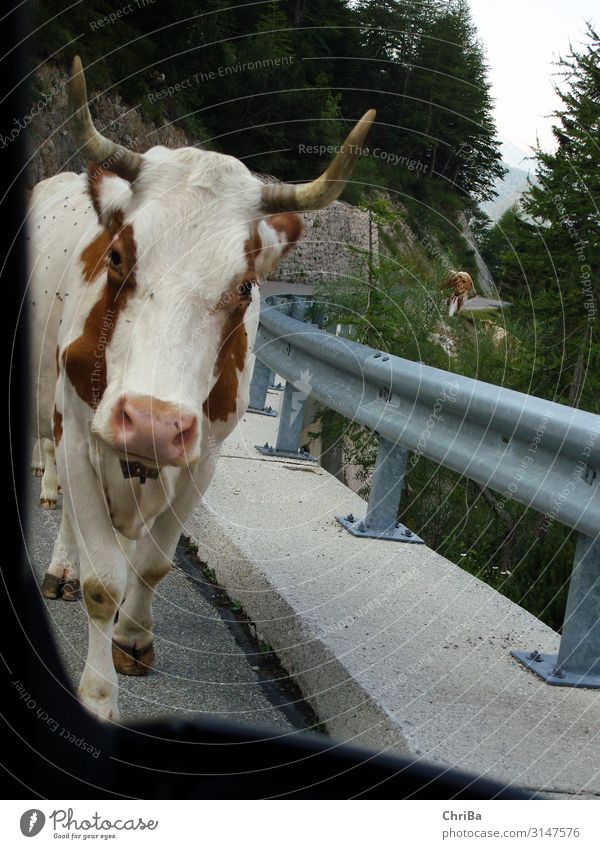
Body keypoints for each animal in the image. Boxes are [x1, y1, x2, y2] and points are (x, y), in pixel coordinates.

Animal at [28, 58, 376, 724]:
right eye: (118, 255)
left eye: (244, 286)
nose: (151, 421)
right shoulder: (82, 430)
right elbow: (101, 581)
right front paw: (99, 696)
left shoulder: (203, 456)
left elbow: (155, 561)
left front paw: (134, 637)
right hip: (46, 391)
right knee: (51, 461)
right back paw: (58, 556)